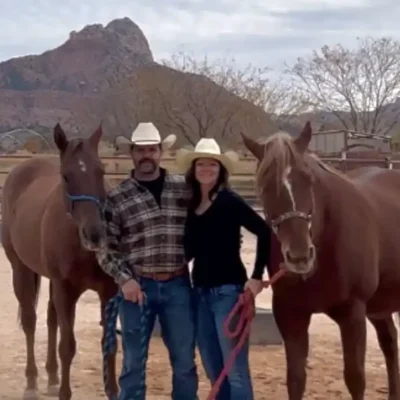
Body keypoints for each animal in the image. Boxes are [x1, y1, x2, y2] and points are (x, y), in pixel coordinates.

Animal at [1, 123, 117, 398]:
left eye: (101, 171)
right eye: (66, 176)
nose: (95, 234)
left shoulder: (108, 292)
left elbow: (109, 344)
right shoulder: (66, 290)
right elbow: (68, 346)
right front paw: (65, 392)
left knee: (51, 318)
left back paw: (52, 377)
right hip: (21, 269)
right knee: (30, 322)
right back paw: (32, 382)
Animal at [242, 122, 400, 400]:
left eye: (309, 179)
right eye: (264, 185)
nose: (300, 256)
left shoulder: (353, 313)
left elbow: (355, 379)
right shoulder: (290, 314)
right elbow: (295, 379)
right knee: (390, 344)